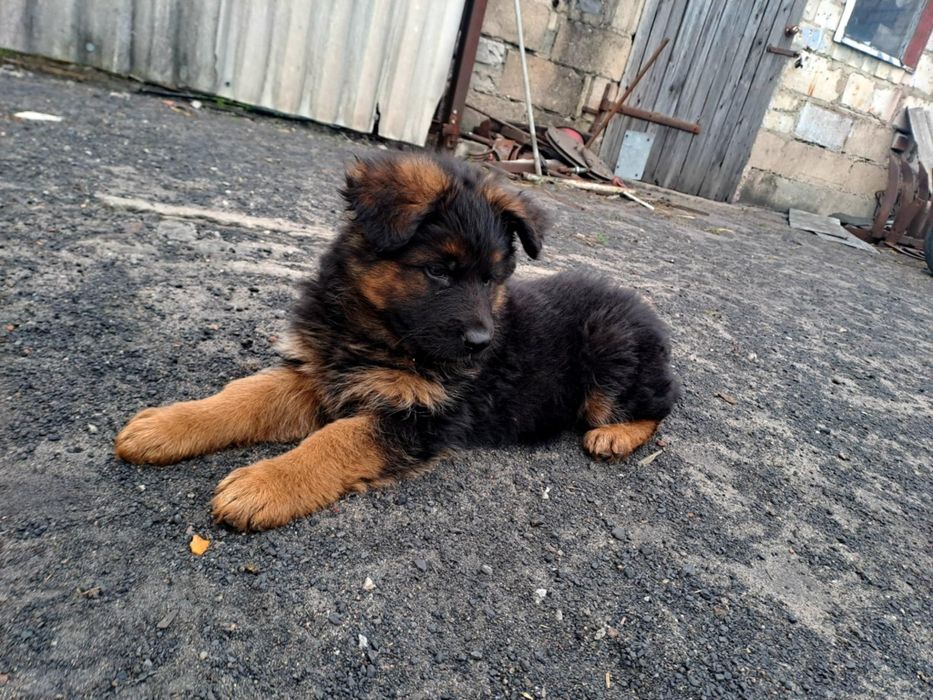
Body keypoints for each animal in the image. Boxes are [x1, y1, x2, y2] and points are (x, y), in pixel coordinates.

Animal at [115, 154, 680, 530]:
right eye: (439, 271)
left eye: (493, 279)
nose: (482, 343)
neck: (378, 335)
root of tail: (647, 310)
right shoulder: (320, 375)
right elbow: (245, 395)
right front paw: (167, 425)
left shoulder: (421, 415)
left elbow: (334, 441)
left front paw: (265, 484)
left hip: (610, 360)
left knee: (661, 405)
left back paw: (614, 437)